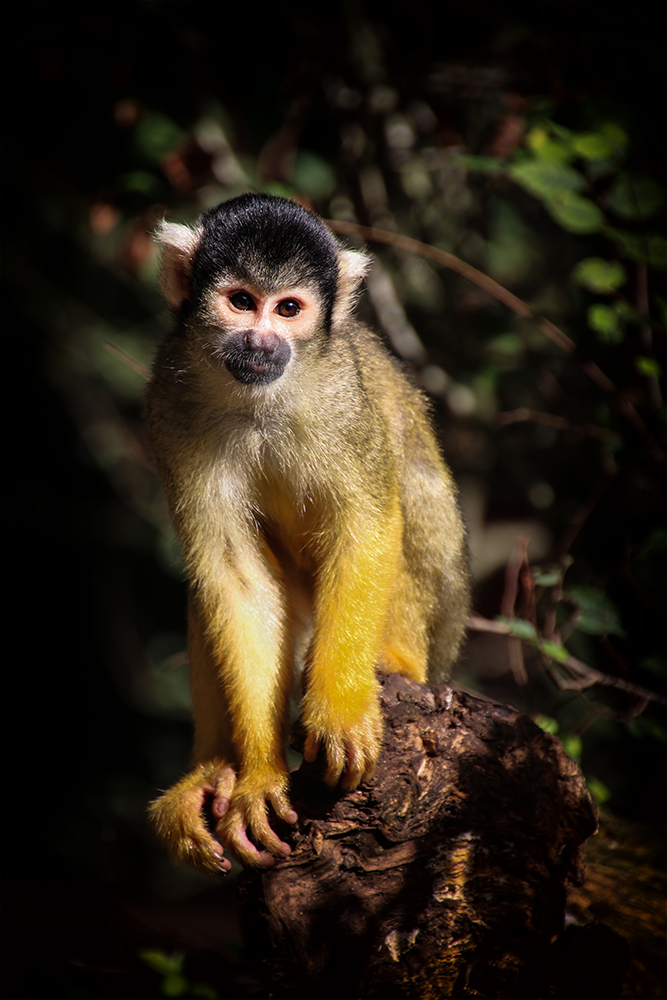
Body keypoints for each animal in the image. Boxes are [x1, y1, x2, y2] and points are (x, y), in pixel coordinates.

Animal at [146, 191, 470, 872]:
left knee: (410, 484)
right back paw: (214, 771)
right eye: (242, 301)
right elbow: (234, 574)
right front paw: (259, 779)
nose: (262, 341)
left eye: (288, 309)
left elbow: (366, 523)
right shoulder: (168, 399)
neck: (257, 399)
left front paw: (340, 711)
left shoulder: (341, 395)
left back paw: (394, 662)